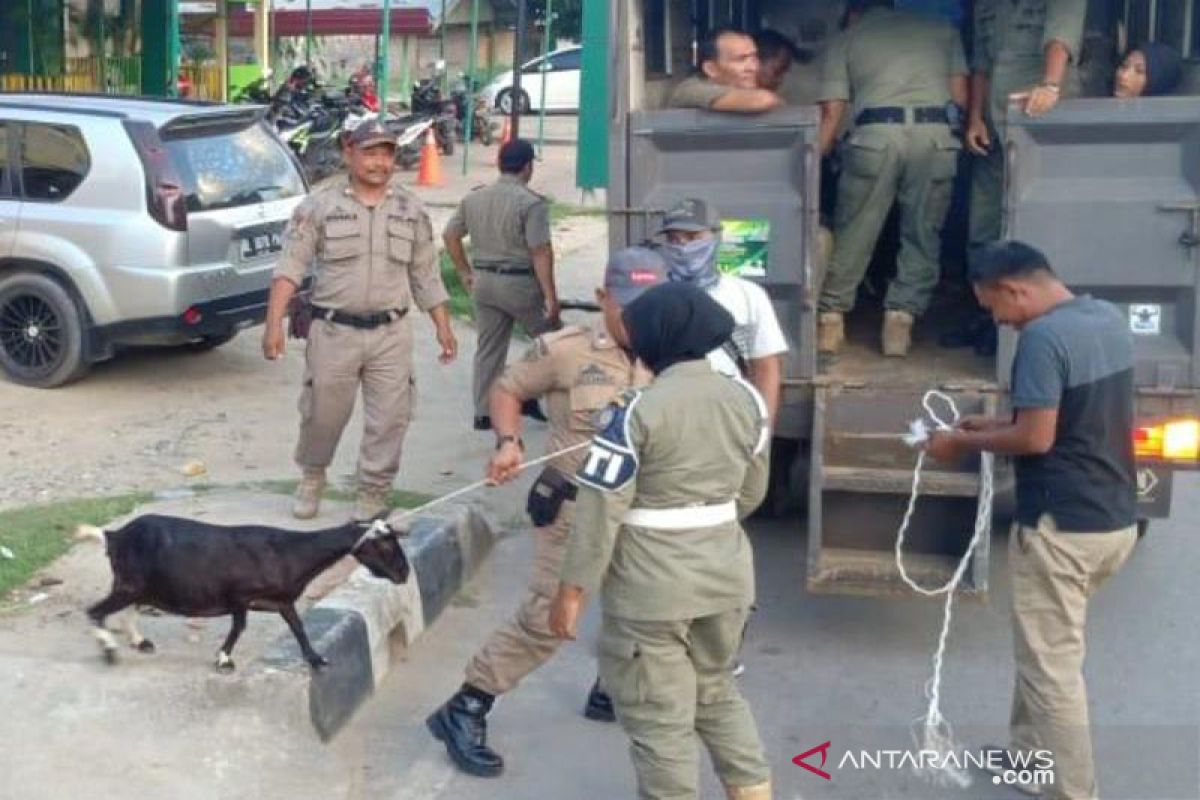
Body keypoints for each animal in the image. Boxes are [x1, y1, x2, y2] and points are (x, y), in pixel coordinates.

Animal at [79, 513, 410, 671]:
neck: (289, 552)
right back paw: (110, 651)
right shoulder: (239, 596)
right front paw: (224, 660)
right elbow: (239, 627)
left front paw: (316, 659)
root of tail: (115, 535)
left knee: (125, 611)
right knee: (95, 612)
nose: (404, 573)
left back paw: (140, 642)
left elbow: (298, 627)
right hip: (130, 584)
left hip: (140, 586)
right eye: (384, 545)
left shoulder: (282, 601)